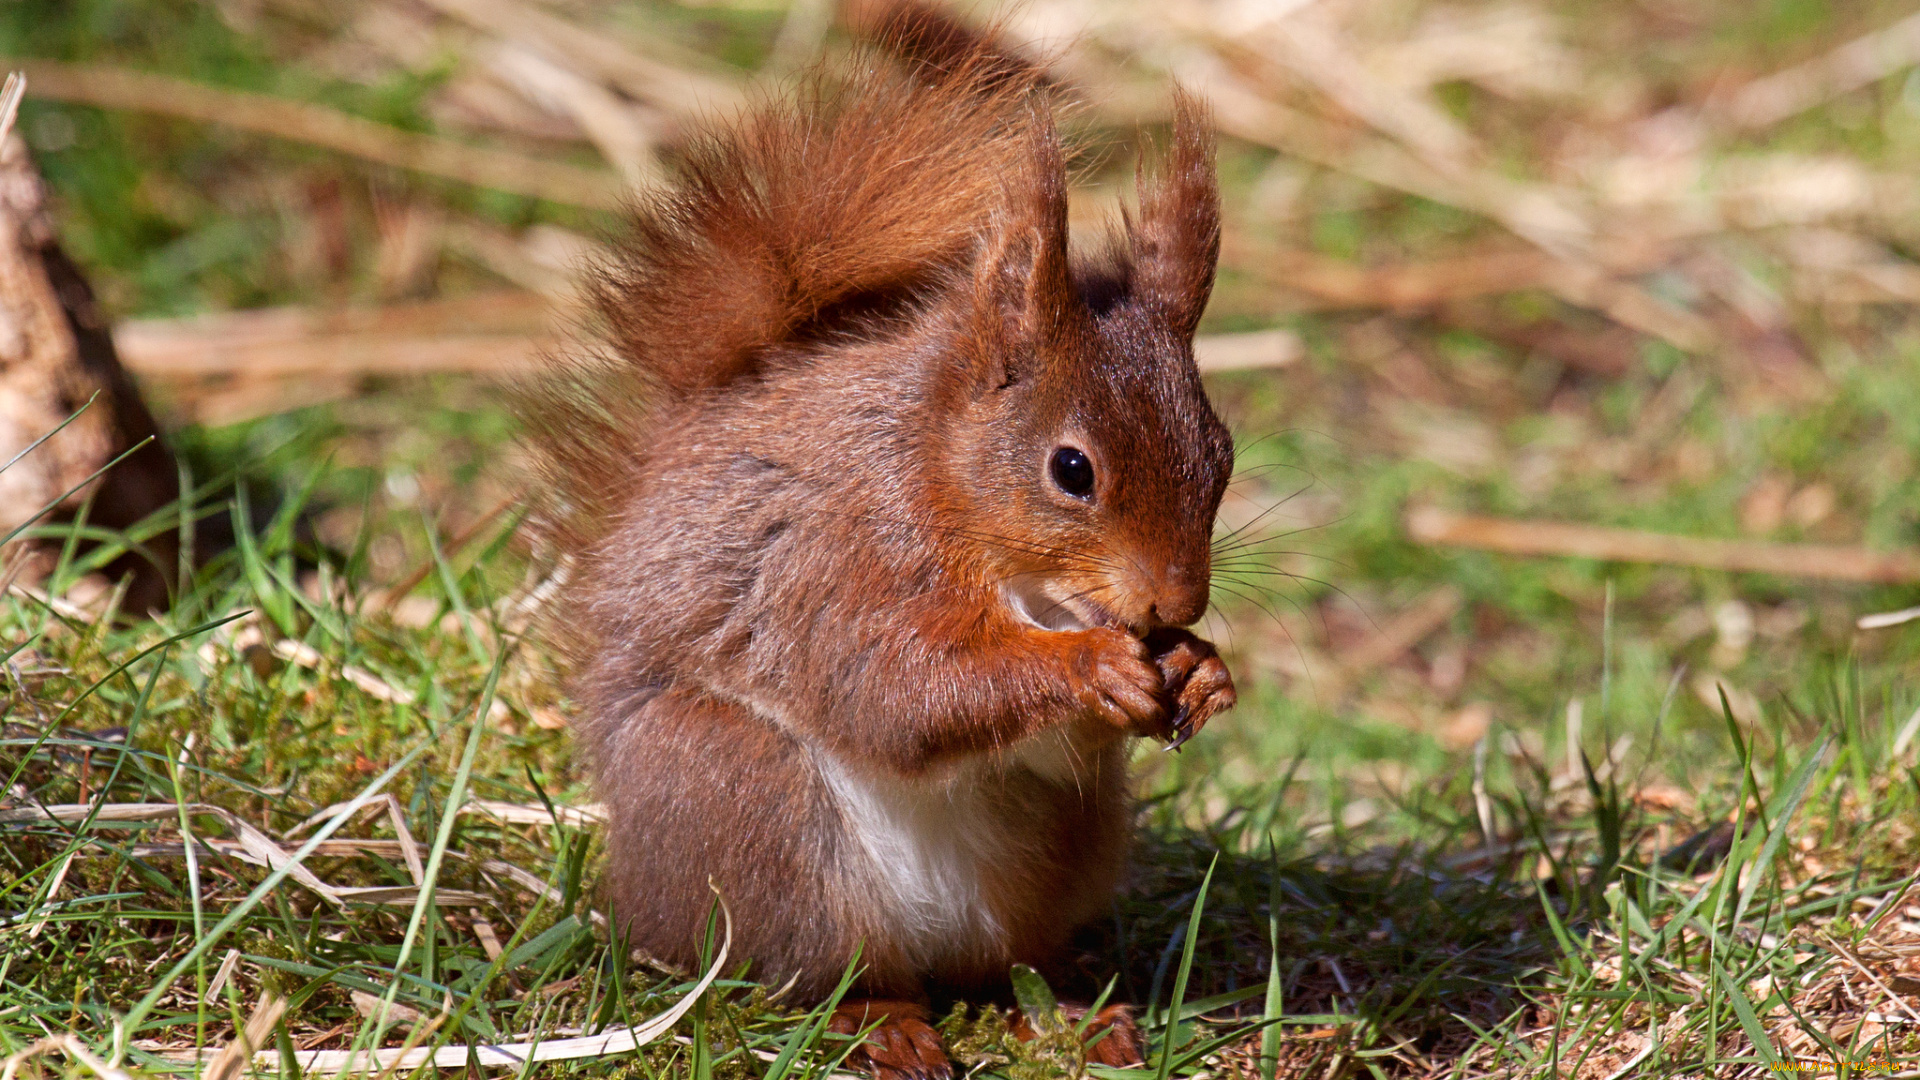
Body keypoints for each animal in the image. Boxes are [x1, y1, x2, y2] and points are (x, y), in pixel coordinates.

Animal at [529, 18, 1244, 1076]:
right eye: (1071, 469)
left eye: (1222, 453)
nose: (1175, 603)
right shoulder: (836, 559)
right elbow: (894, 687)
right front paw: (1089, 665)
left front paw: (1200, 668)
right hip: (751, 810)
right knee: (817, 973)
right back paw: (884, 1025)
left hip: (1060, 848)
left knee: (1008, 965)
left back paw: (1075, 1013)